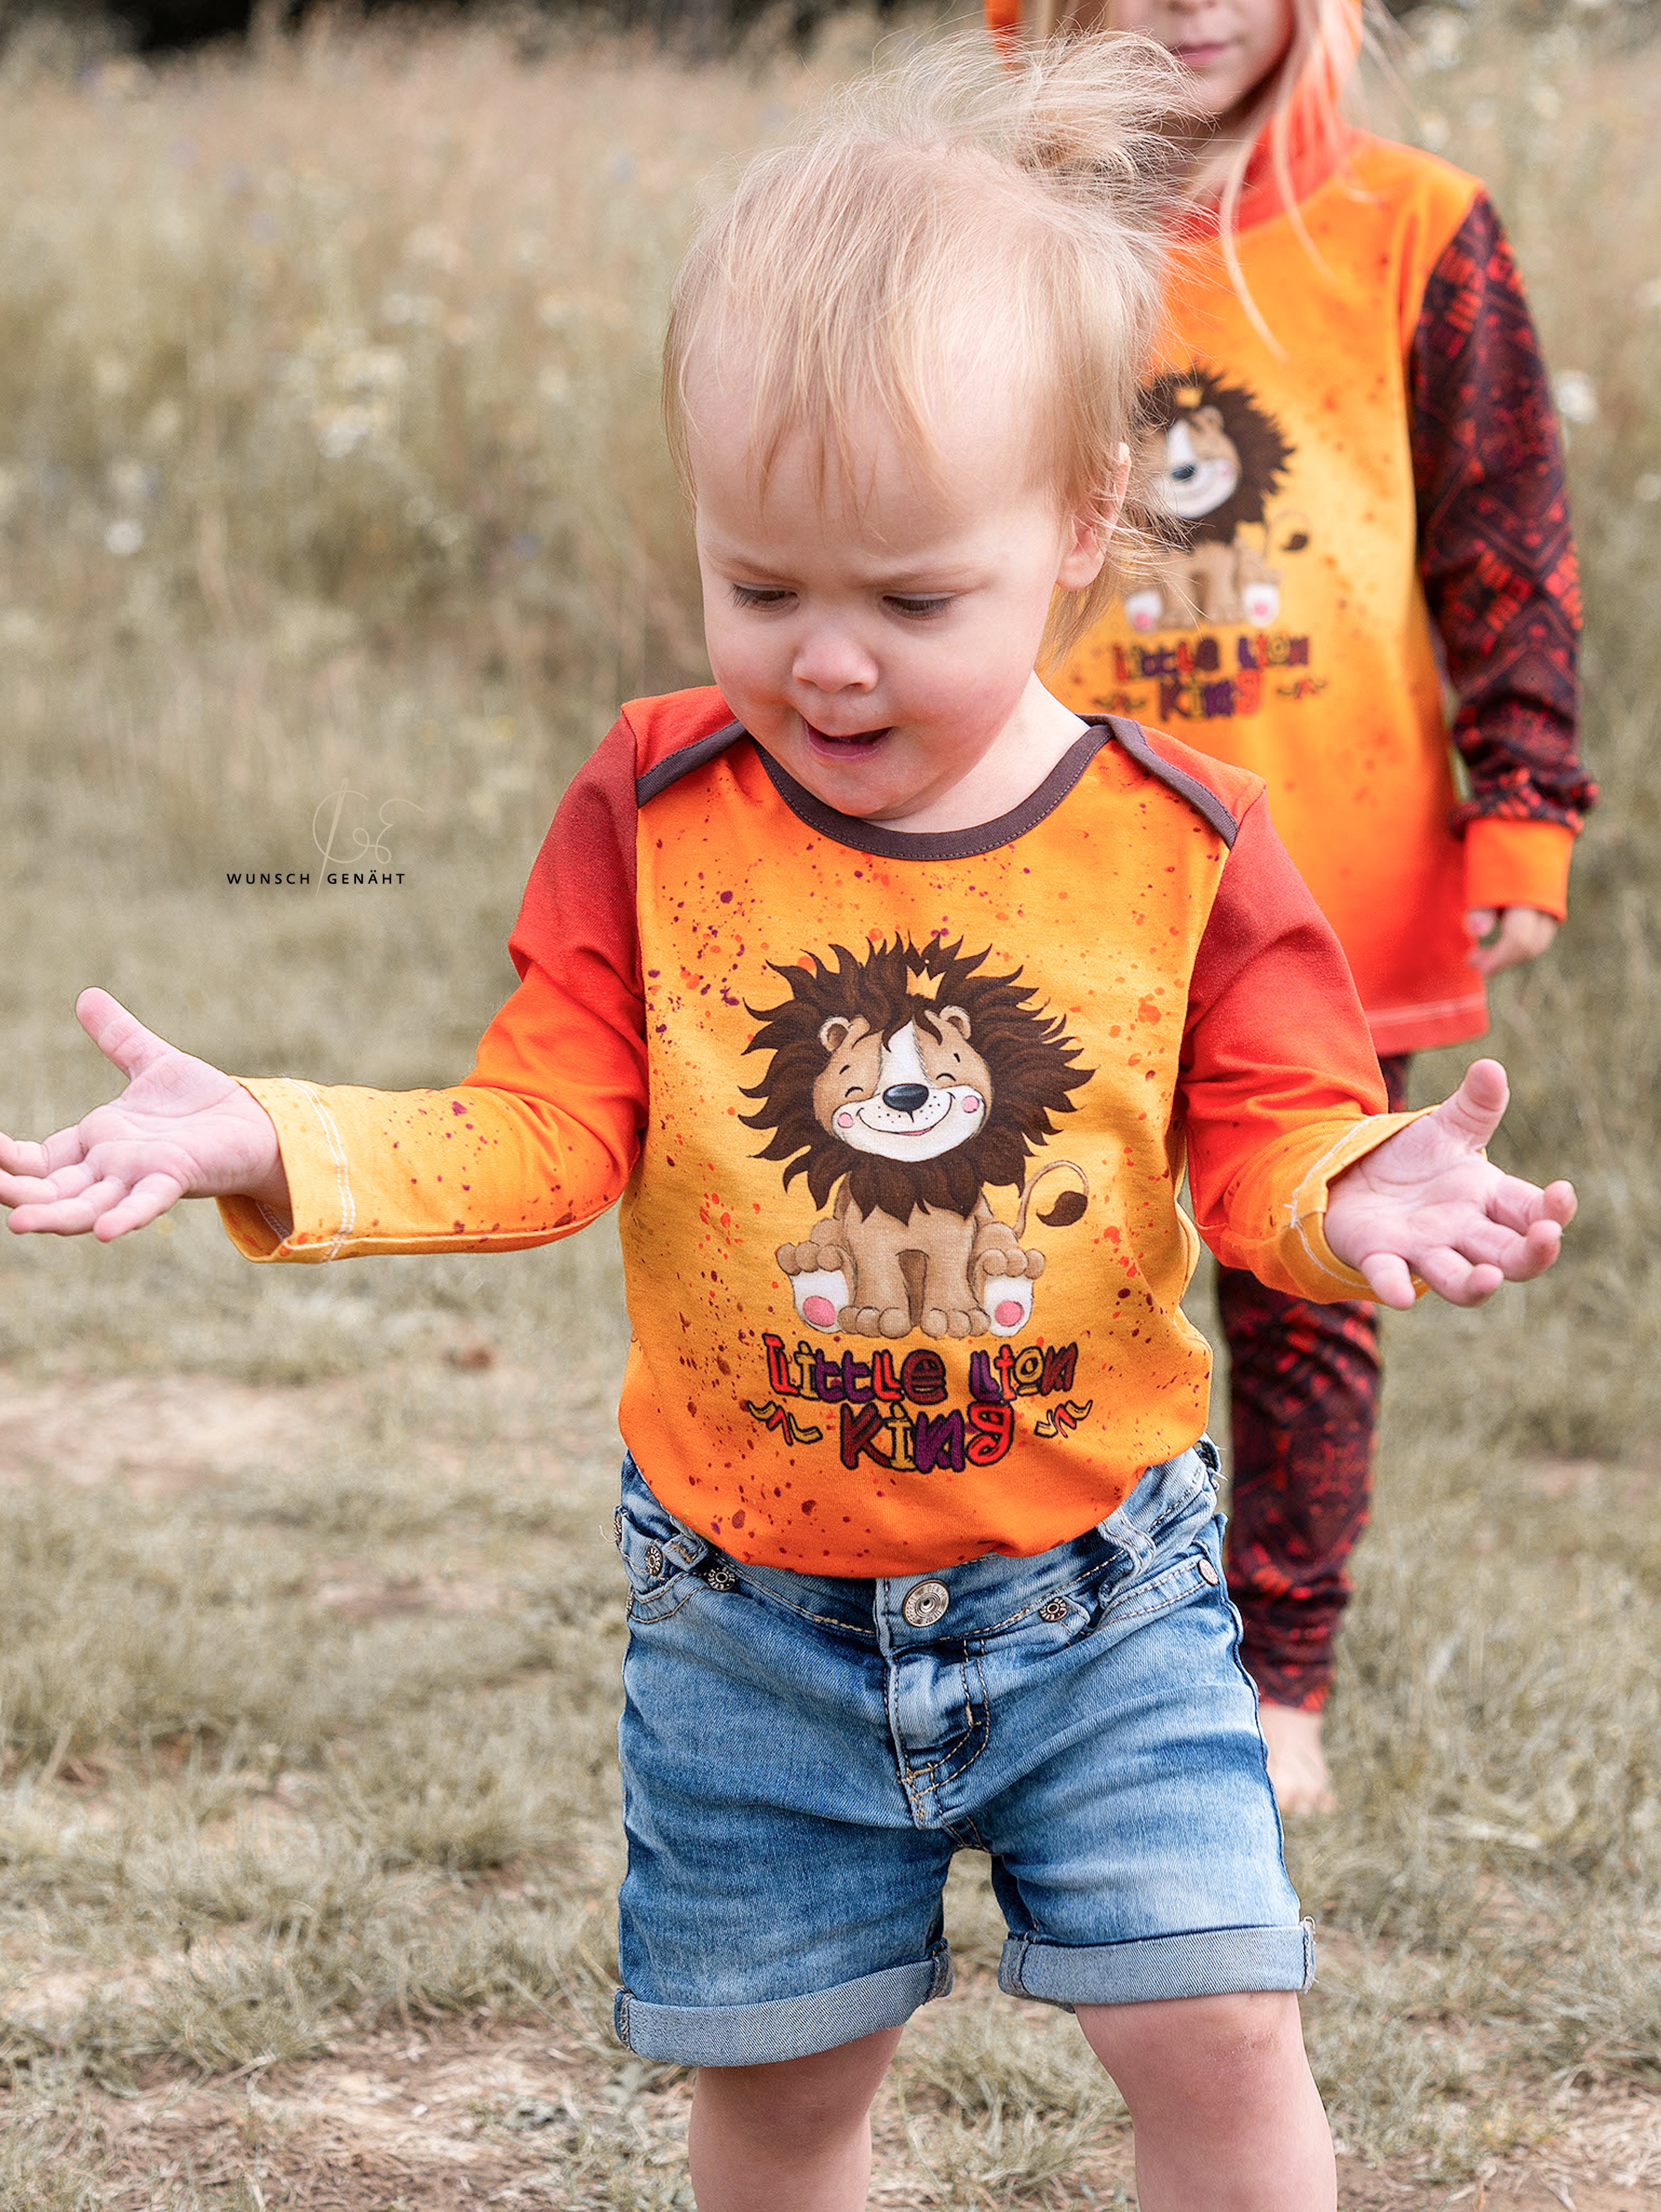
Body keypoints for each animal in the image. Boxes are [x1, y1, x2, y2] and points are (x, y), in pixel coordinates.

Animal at [740, 937, 1091, 1341]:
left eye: (949, 1066)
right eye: (852, 1076)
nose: (907, 1095)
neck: (911, 1179)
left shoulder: (954, 1233)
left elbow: (950, 1269)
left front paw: (956, 1318)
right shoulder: (868, 1233)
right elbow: (875, 1269)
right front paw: (874, 1316)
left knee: (998, 1241)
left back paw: (1007, 1283)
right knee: (827, 1238)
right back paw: (816, 1278)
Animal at [1124, 368, 1303, 634]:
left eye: (1206, 454)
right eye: (1158, 465)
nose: (1185, 471)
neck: (1198, 531)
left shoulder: (1223, 556)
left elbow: (1221, 582)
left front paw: (1225, 614)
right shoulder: (1171, 563)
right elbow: (1177, 588)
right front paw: (1178, 618)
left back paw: (1260, 603)